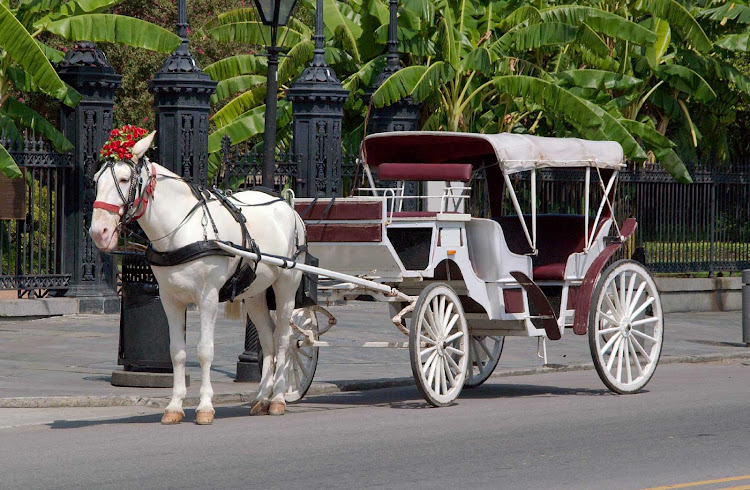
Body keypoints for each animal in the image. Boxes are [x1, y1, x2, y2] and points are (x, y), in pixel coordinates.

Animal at [90, 131, 306, 424]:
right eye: (96, 181)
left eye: (124, 179)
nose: (98, 232)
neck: (181, 229)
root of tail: (287, 205)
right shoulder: (170, 300)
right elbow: (177, 353)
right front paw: (174, 406)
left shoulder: (208, 299)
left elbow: (204, 351)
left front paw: (204, 406)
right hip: (254, 293)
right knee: (268, 340)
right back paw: (262, 397)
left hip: (286, 286)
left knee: (284, 339)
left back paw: (279, 399)